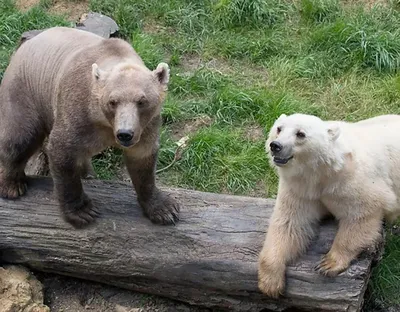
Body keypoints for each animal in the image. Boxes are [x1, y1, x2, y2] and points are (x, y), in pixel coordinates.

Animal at [0, 26, 180, 227]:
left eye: (142, 101)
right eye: (112, 101)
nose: (125, 134)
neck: (103, 122)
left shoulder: (147, 125)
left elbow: (143, 159)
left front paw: (165, 208)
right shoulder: (77, 110)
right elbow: (63, 152)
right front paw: (83, 211)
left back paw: (87, 173)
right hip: (25, 89)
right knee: (20, 136)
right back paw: (12, 185)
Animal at [256, 112, 400, 298]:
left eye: (300, 134)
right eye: (279, 128)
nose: (276, 145)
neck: (323, 172)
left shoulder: (353, 181)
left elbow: (361, 215)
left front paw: (328, 263)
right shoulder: (300, 190)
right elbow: (290, 223)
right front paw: (270, 283)